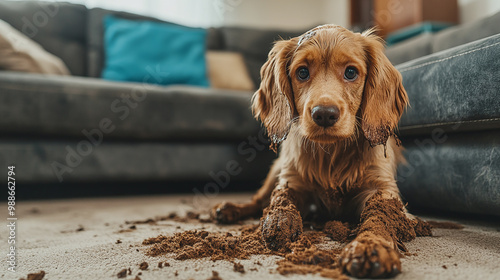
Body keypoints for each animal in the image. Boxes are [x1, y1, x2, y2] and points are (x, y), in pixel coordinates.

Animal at [211, 25, 418, 278]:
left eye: (351, 72)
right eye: (302, 73)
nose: (325, 114)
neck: (331, 152)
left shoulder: (382, 189)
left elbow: (379, 218)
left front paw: (371, 247)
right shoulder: (292, 180)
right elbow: (280, 199)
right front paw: (279, 222)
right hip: (277, 169)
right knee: (259, 199)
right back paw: (229, 209)